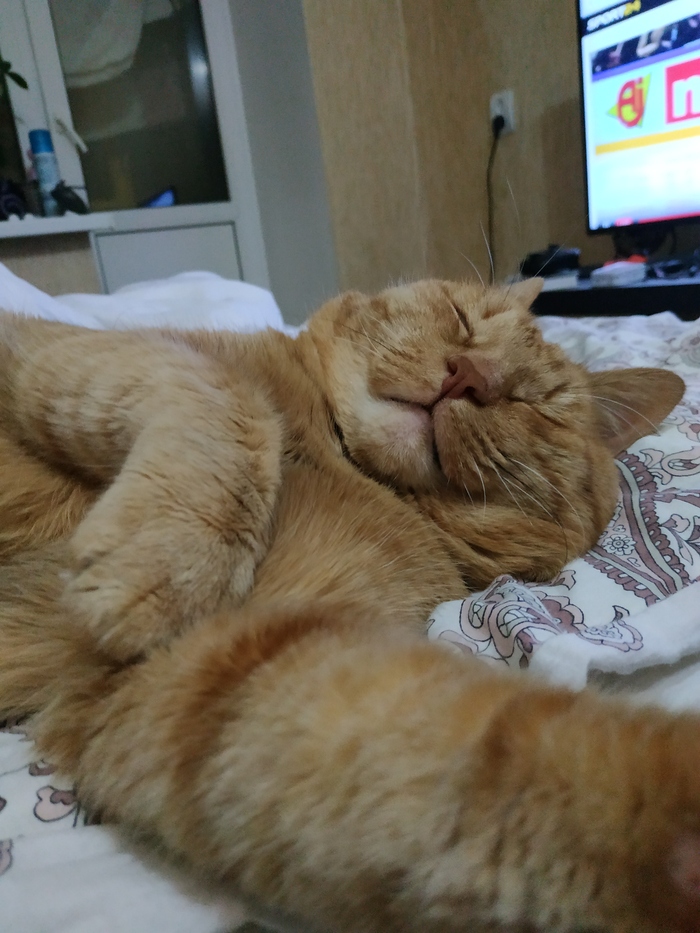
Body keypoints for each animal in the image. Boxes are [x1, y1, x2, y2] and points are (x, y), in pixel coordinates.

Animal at [0, 276, 695, 933]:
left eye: (535, 403)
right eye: (463, 321)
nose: (468, 374)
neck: (332, 456)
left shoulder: (218, 671)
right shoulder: (62, 346)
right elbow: (229, 397)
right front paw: (167, 555)